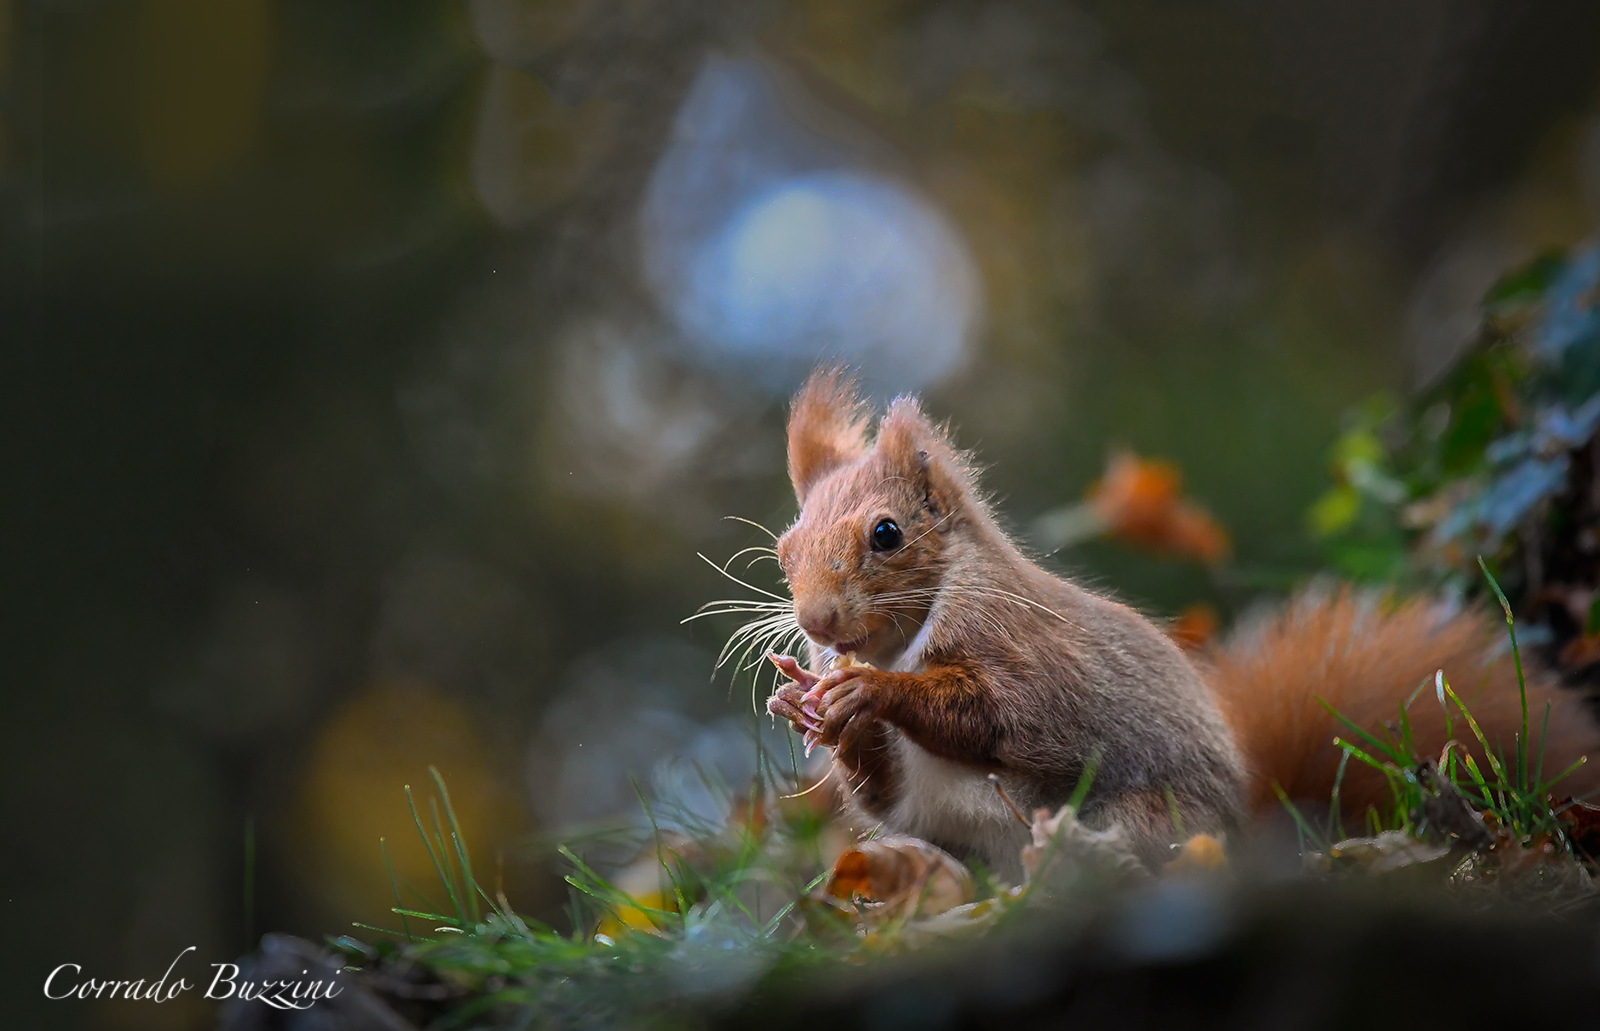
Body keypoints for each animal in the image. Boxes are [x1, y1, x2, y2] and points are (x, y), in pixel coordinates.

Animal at [762, 368, 1600, 875]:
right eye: (785, 548)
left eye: (887, 534)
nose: (817, 621)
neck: (907, 640)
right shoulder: (902, 797)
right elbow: (881, 794)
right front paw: (806, 701)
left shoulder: (1024, 653)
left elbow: (997, 716)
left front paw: (868, 692)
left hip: (1150, 813)